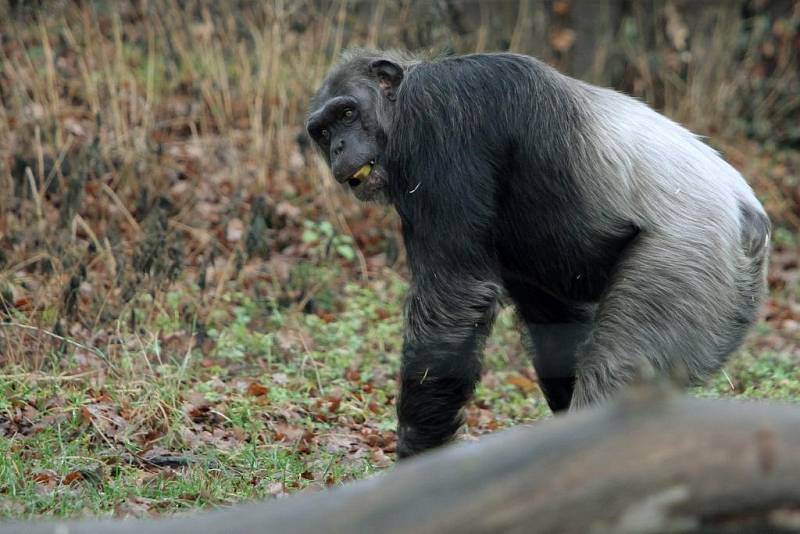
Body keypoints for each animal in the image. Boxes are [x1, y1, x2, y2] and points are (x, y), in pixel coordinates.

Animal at [304, 51, 768, 460]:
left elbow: (453, 297)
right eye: (322, 132)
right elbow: (553, 328)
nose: (339, 146)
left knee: (617, 369)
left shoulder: (439, 119)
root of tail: (751, 222)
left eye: (347, 114)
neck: (400, 108)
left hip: (684, 263)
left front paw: (417, 457)